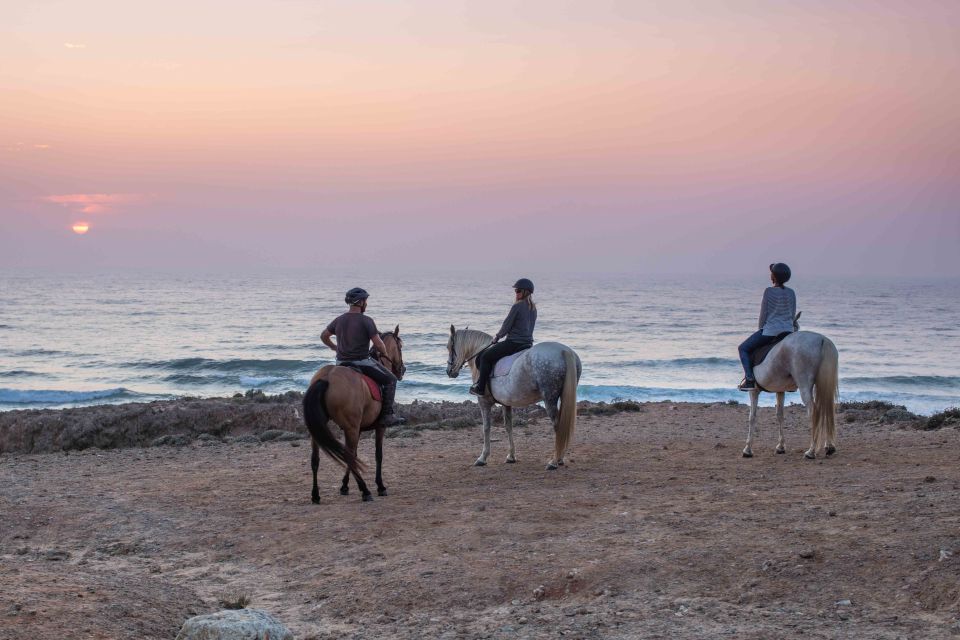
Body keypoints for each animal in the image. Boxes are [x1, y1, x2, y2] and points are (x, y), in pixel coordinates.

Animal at [302, 328, 404, 502]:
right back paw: (365, 490)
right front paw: (380, 486)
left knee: (316, 459)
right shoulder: (378, 427)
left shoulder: (358, 429)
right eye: (400, 347)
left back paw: (315, 495)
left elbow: (355, 454)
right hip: (351, 428)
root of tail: (327, 377)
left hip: (320, 428)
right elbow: (378, 455)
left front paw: (344, 485)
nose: (402, 370)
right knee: (348, 457)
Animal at [446, 324, 580, 470]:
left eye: (449, 347)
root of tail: (564, 351)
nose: (449, 372)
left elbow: (486, 428)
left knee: (557, 426)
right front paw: (511, 456)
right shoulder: (506, 403)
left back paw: (554, 461)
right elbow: (508, 427)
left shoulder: (484, 402)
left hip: (549, 398)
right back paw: (560, 458)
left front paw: (482, 457)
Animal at [748, 312, 836, 458]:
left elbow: (752, 416)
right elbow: (780, 415)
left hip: (804, 386)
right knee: (826, 409)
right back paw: (829, 447)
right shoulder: (780, 390)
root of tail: (822, 340)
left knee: (814, 412)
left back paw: (811, 451)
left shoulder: (753, 390)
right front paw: (780, 447)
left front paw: (747, 449)